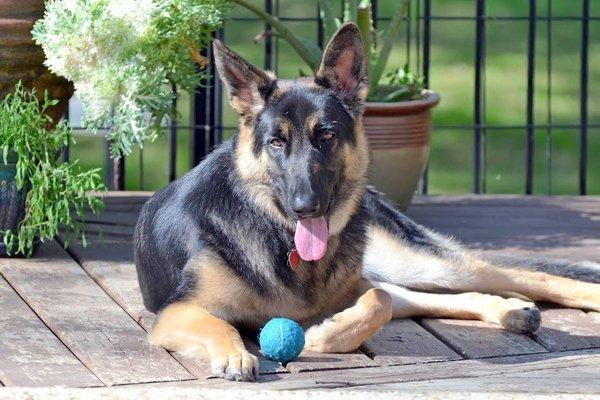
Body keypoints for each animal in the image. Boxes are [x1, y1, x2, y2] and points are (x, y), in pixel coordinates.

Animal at [135, 22, 600, 382]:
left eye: (326, 135)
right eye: (276, 142)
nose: (306, 207)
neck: (279, 237)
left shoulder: (357, 287)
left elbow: (378, 302)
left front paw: (325, 335)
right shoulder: (176, 312)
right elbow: (218, 324)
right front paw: (234, 353)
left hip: (413, 260)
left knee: (516, 276)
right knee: (433, 295)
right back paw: (512, 312)